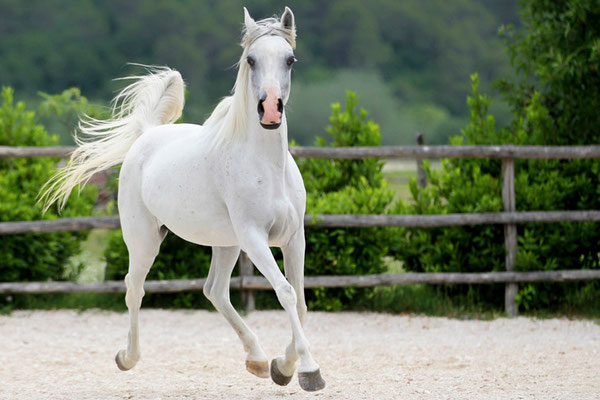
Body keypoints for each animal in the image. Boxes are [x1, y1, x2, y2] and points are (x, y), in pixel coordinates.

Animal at [42, 6, 326, 392]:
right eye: (250, 60)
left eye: (290, 60)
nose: (270, 110)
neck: (267, 166)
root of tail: (147, 135)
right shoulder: (255, 238)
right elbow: (286, 293)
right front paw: (309, 371)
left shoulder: (294, 238)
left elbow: (300, 302)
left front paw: (282, 367)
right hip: (145, 240)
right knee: (134, 289)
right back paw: (127, 358)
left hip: (226, 243)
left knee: (215, 291)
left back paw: (255, 358)